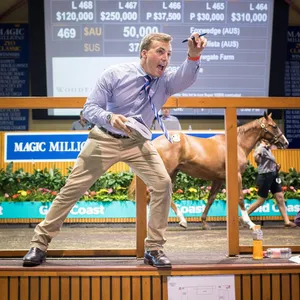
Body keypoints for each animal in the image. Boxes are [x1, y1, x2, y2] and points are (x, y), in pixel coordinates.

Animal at [127, 112, 290, 230]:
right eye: (274, 126)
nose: (286, 142)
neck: (237, 144)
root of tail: (155, 141)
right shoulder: (236, 176)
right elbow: (240, 198)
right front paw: (249, 223)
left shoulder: (218, 179)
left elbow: (210, 199)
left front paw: (204, 222)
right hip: (167, 171)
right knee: (152, 194)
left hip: (171, 173)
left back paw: (179, 221)